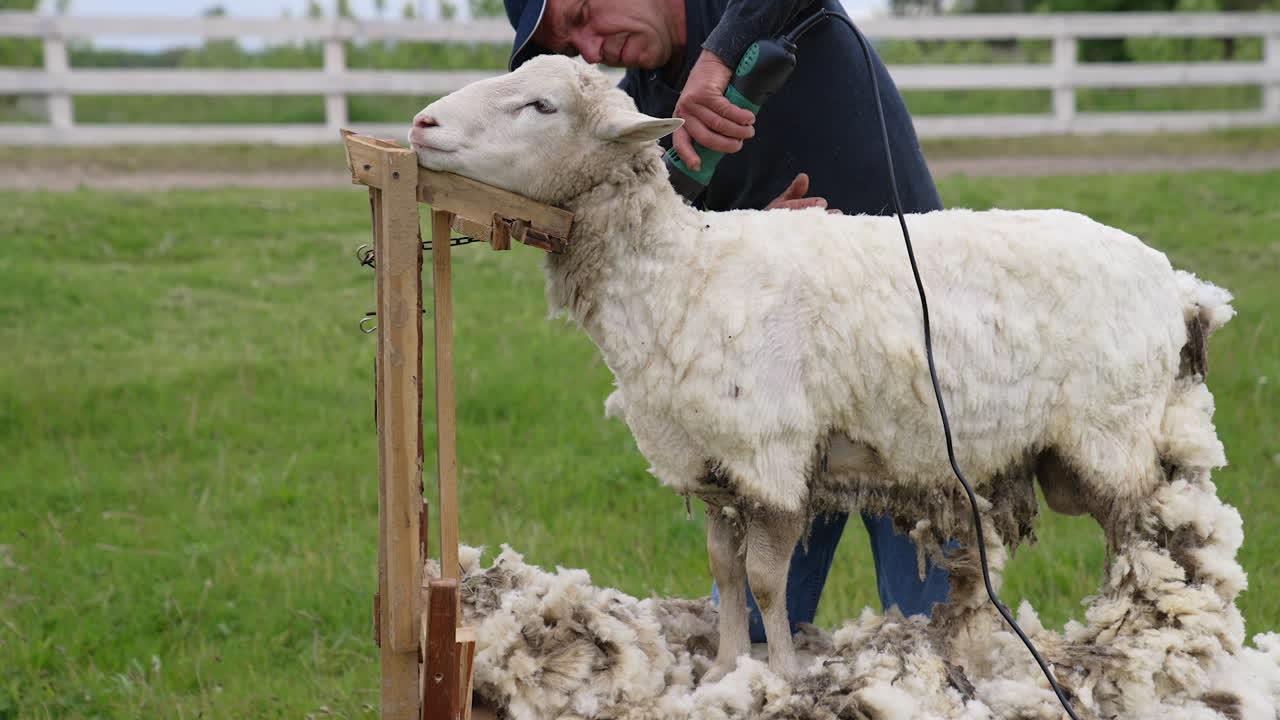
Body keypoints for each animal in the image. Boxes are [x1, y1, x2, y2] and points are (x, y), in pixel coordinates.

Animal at [408, 54, 1235, 683]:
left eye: (541, 105)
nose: (421, 125)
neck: (679, 271)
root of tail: (1181, 287)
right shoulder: (715, 463)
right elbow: (725, 570)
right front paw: (725, 667)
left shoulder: (770, 452)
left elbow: (766, 579)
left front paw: (780, 671)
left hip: (1112, 436)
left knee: (1142, 548)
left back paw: (1132, 639)